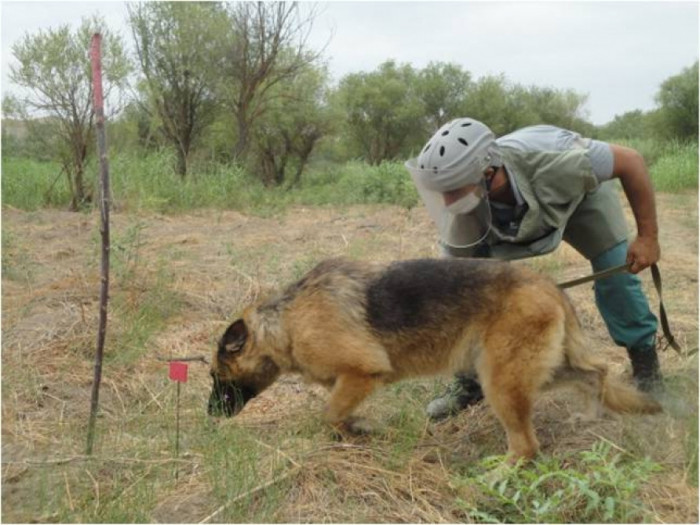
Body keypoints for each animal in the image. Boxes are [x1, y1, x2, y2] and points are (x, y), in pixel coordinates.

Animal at [208, 258, 660, 458]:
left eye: (216, 376)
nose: (210, 415)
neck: (284, 321)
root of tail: (550, 284)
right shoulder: (349, 382)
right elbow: (336, 413)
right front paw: (357, 429)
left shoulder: (363, 372)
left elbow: (330, 413)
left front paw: (356, 429)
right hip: (536, 372)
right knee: (596, 373)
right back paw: (592, 416)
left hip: (501, 381)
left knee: (527, 447)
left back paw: (496, 473)